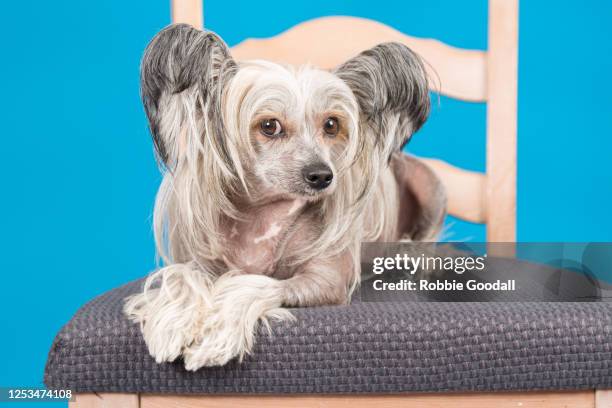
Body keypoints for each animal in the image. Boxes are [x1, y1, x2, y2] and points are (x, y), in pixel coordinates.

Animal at [125, 23, 444, 372]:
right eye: (269, 125)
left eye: (331, 124)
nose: (322, 176)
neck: (265, 213)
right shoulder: (200, 262)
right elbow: (182, 276)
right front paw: (173, 323)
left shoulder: (326, 281)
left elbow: (256, 283)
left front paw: (217, 331)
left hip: (431, 187)